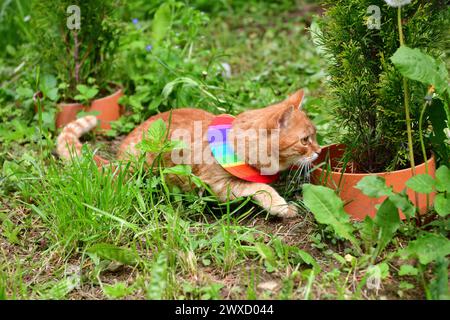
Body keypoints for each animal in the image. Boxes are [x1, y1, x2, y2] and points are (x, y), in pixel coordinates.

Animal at [58, 90, 322, 220]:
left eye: (315, 136)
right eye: (305, 140)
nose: (319, 151)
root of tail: (120, 159)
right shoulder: (218, 185)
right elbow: (261, 187)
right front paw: (281, 206)